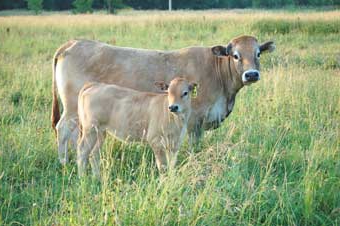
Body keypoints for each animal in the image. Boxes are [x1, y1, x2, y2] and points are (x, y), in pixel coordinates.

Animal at [51, 34, 274, 163]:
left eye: (258, 54)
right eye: (235, 55)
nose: (251, 74)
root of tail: (74, 42)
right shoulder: (194, 121)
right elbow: (193, 147)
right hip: (72, 108)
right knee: (63, 129)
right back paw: (64, 163)